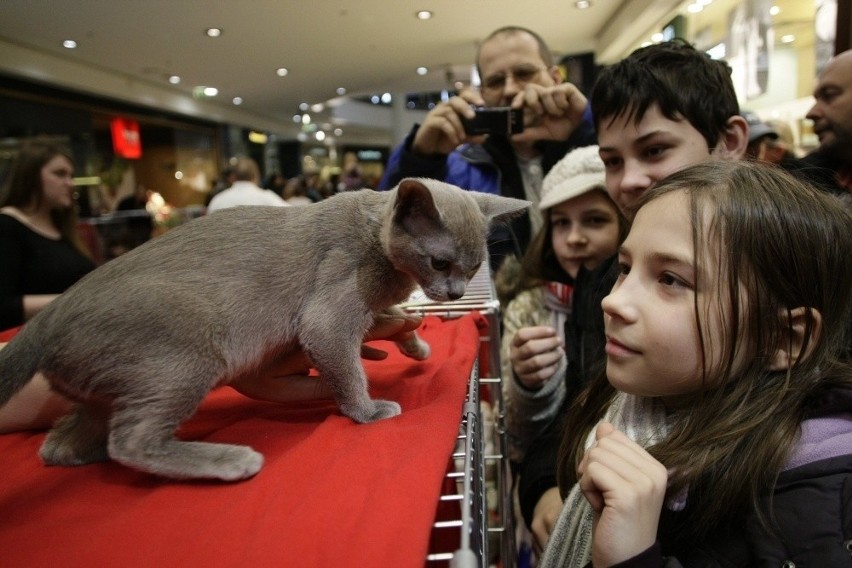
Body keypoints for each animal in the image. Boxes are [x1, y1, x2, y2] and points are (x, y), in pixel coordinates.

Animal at [0, 178, 524, 480]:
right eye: (440, 262)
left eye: (473, 267)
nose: (455, 293)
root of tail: (49, 314)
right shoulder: (327, 314)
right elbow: (345, 358)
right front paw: (368, 409)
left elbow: (392, 320)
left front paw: (414, 346)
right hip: (186, 350)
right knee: (132, 440)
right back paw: (229, 461)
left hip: (104, 387)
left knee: (67, 440)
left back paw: (78, 452)